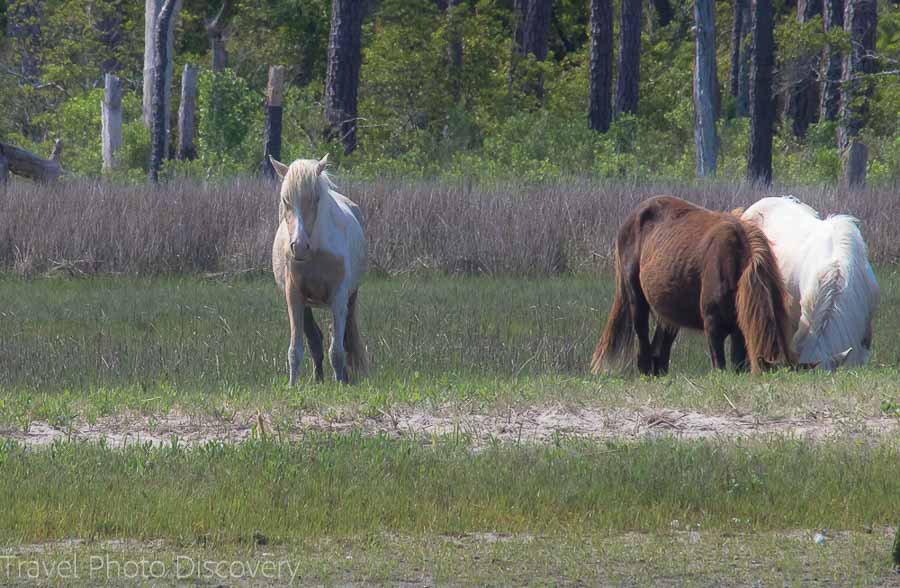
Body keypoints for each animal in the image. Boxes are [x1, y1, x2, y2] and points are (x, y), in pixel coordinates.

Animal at [268, 155, 368, 386]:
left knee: (342, 338)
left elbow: (337, 351)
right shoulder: (294, 296)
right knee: (316, 338)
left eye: (315, 199)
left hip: (350, 297)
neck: (315, 251)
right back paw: (318, 379)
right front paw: (292, 386)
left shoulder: (339, 296)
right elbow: (296, 349)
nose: (299, 246)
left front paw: (341, 385)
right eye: (286, 200)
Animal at [592, 195, 796, 374]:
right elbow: (719, 366)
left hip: (669, 313)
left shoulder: (739, 327)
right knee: (642, 339)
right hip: (637, 299)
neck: (734, 260)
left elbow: (738, 364)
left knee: (660, 350)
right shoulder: (712, 324)